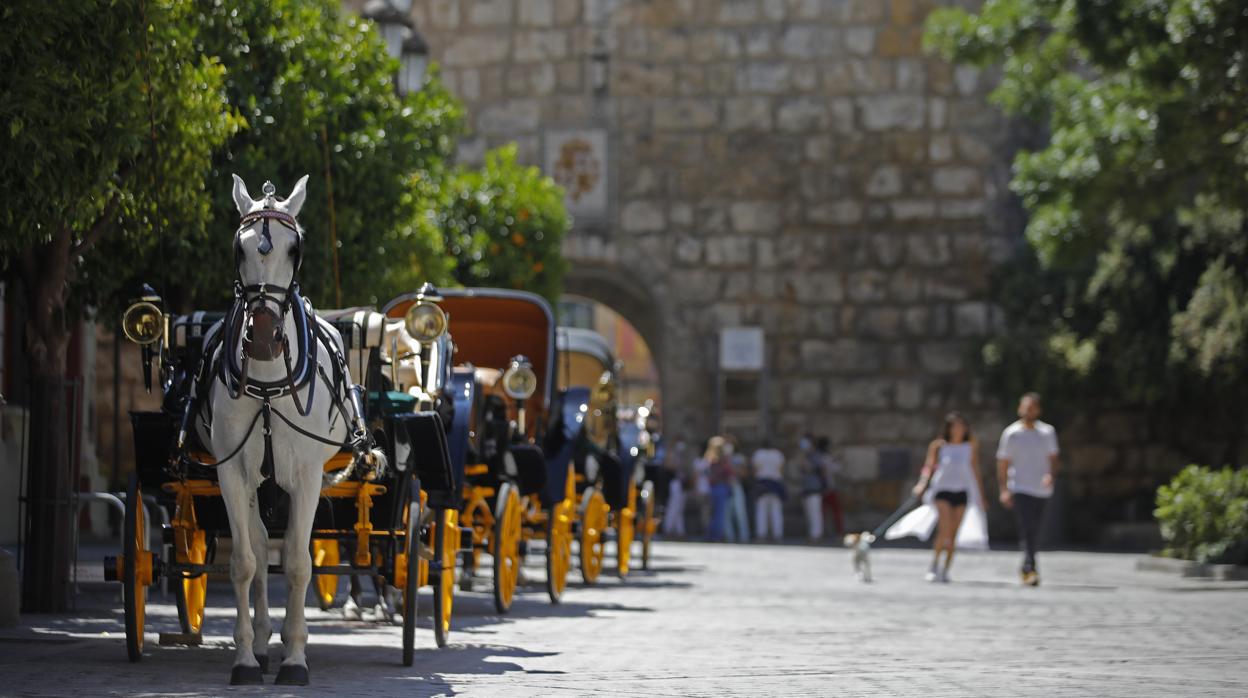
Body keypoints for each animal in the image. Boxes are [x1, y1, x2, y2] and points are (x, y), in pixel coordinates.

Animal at [197, 176, 371, 689]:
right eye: (240, 247)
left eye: (294, 250)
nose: (262, 336)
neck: (269, 386)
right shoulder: (232, 473)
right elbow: (244, 562)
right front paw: (245, 659)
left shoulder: (307, 477)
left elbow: (296, 562)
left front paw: (295, 658)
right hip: (256, 481)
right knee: (257, 545)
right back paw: (258, 642)